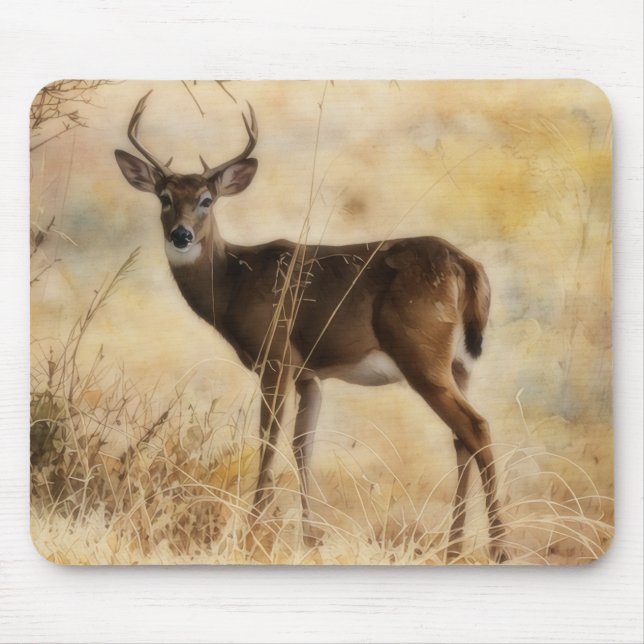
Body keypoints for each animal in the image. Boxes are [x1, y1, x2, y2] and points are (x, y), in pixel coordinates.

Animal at [114, 91, 506, 562]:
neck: (234, 281)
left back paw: (498, 549)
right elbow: (304, 445)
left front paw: (255, 532)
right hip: (459, 365)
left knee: (476, 427)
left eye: (207, 199)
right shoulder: (310, 374)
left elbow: (268, 440)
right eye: (163, 197)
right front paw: (310, 539)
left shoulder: (275, 357)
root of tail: (467, 266)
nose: (181, 235)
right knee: (460, 439)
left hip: (420, 354)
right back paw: (454, 548)